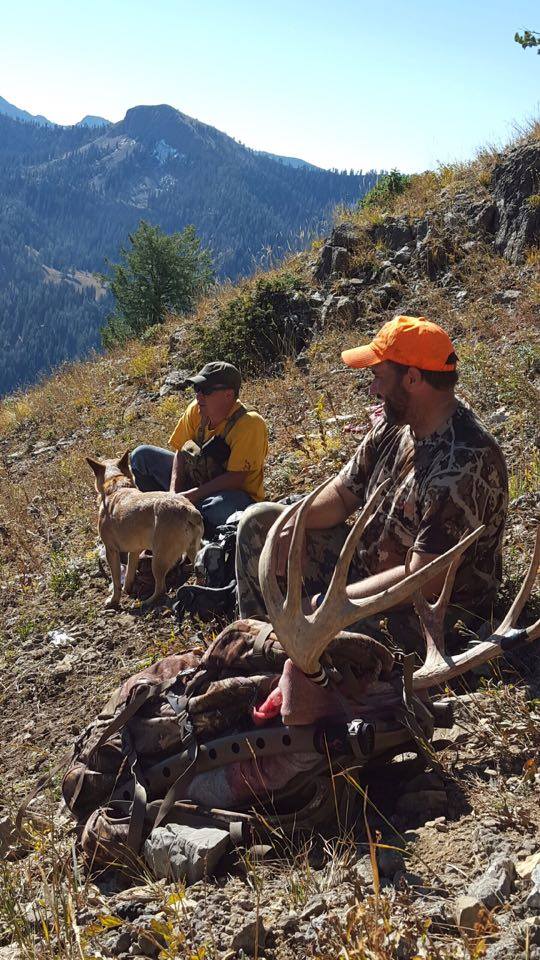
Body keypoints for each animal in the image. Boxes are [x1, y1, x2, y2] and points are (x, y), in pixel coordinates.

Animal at [86, 450, 205, 608]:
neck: (117, 485)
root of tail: (187, 510)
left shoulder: (111, 551)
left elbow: (116, 581)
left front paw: (114, 600)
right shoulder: (135, 551)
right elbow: (129, 571)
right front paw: (127, 588)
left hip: (159, 560)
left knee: (161, 588)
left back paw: (146, 602)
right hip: (192, 549)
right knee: (199, 574)